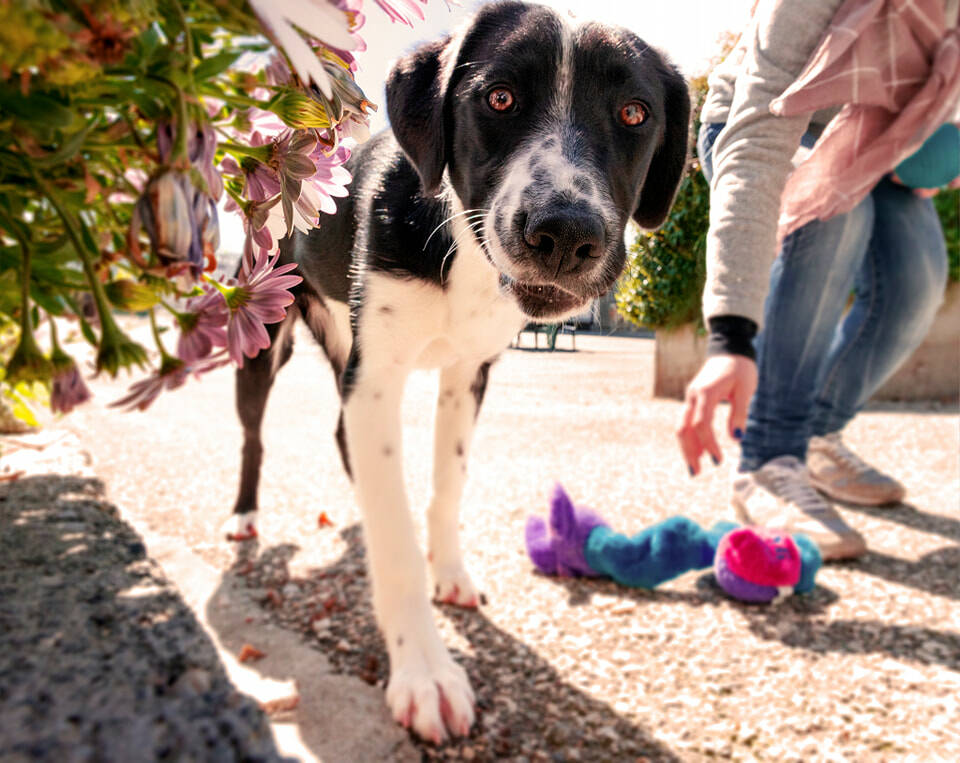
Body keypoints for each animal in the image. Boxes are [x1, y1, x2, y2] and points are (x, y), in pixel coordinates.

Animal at [229, 1, 688, 748]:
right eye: (498, 98)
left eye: (634, 113)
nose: (565, 233)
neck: (462, 253)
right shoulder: (377, 376)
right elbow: (395, 540)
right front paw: (424, 671)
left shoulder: (469, 373)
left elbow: (447, 486)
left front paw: (448, 569)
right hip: (263, 335)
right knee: (254, 436)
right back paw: (244, 515)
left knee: (342, 436)